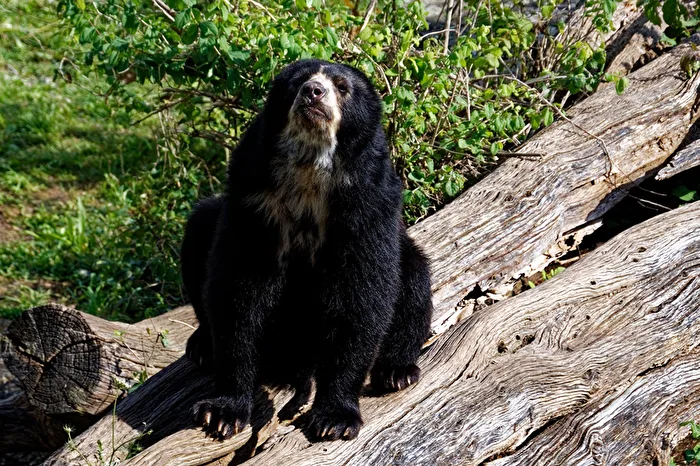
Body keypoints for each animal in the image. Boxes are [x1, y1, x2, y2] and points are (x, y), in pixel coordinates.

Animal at [180, 58, 433, 442]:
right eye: (298, 81)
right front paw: (222, 411)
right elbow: (237, 290)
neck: (309, 170)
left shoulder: (366, 207)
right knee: (198, 228)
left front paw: (334, 418)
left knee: (415, 278)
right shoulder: (254, 201)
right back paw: (202, 345)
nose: (313, 91)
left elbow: (361, 296)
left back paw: (397, 371)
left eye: (342, 87)